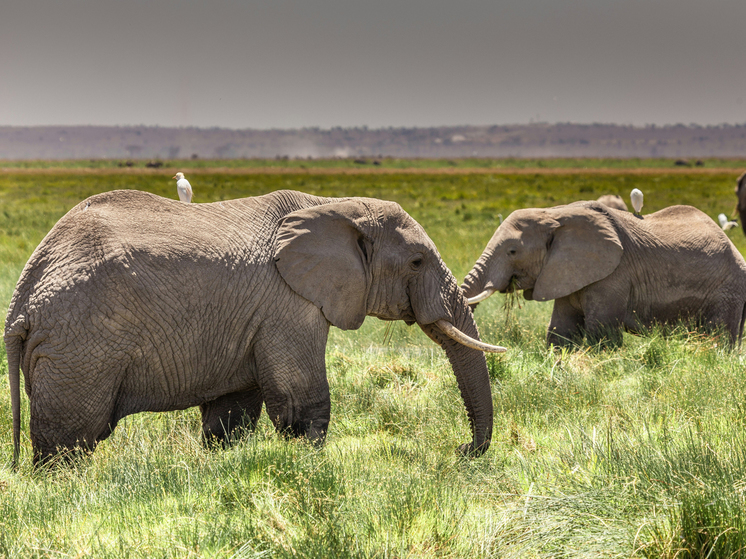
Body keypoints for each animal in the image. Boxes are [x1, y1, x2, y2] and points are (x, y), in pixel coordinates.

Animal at [4, 190, 500, 466]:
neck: (333, 204)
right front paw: (307, 466)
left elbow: (231, 417)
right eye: (417, 262)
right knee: (69, 442)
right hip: (78, 348)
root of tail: (21, 299)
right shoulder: (288, 304)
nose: (462, 451)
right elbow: (303, 404)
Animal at [460, 201, 744, 348]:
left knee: (718, 337)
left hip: (727, 289)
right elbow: (560, 330)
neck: (554, 212)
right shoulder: (564, 271)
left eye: (512, 251)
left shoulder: (613, 276)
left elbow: (601, 333)